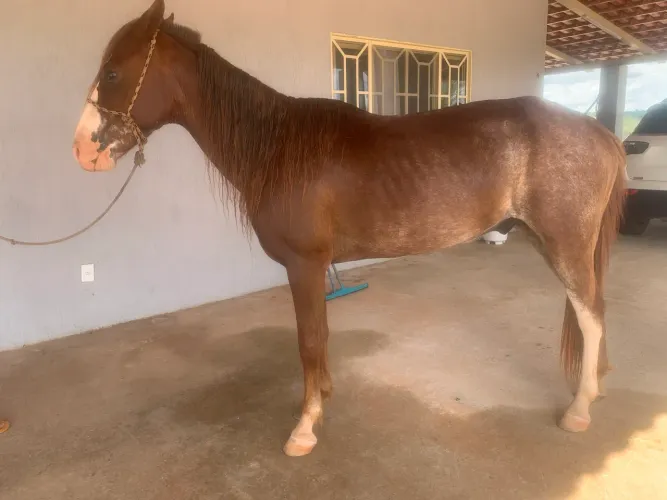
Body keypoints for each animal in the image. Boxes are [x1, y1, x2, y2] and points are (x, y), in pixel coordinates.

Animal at [72, 0, 627, 457]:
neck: (276, 146)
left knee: (592, 315)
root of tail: (600, 133)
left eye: (114, 71)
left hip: (565, 246)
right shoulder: (315, 269)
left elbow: (308, 341)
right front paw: (322, 400)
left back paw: (579, 410)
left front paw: (305, 428)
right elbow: (318, 337)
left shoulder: (304, 265)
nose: (81, 150)